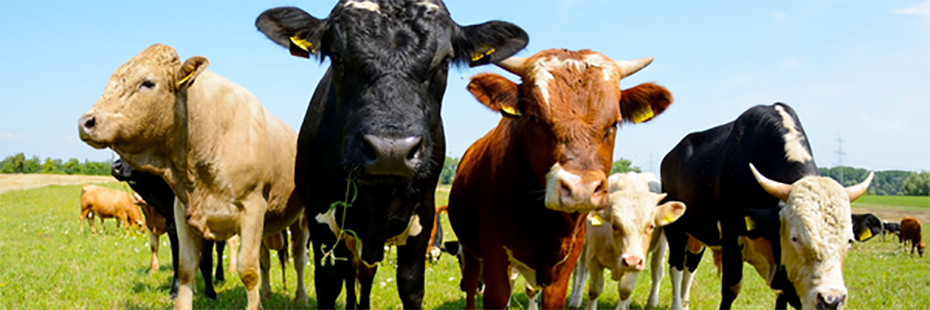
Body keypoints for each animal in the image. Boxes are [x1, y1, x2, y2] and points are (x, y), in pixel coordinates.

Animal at [79, 44, 304, 310]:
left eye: (147, 83)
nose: (86, 122)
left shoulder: (253, 209)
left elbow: (248, 271)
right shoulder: (181, 213)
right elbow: (186, 268)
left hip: (301, 220)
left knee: (298, 259)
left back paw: (301, 296)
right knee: (266, 260)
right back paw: (267, 294)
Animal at [254, 1, 528, 308]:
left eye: (444, 61)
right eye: (337, 57)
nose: (391, 150)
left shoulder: (423, 217)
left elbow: (409, 285)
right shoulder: (320, 217)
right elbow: (329, 283)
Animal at [448, 49, 672, 308]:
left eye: (614, 123)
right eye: (534, 117)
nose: (581, 189)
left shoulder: (568, 258)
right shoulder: (494, 254)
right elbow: (497, 295)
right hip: (469, 250)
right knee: (471, 283)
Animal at [660, 103, 872, 310]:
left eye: (849, 241)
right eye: (794, 238)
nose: (831, 300)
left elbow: (781, 297)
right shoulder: (731, 236)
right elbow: (731, 289)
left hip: (698, 235)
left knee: (690, 268)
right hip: (675, 229)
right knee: (676, 267)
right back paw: (677, 305)